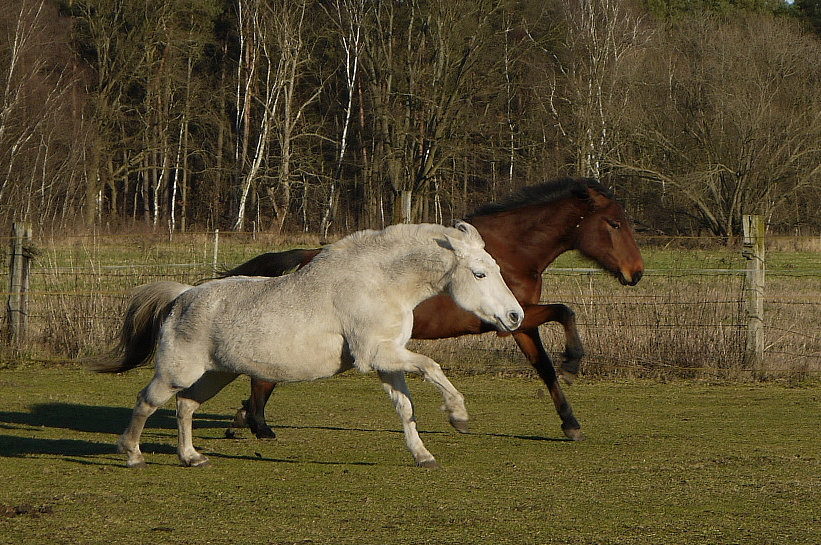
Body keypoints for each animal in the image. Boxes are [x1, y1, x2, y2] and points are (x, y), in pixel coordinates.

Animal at [93, 221, 520, 468]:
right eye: (479, 274)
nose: (515, 316)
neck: (378, 283)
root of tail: (182, 296)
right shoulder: (376, 355)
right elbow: (433, 367)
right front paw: (458, 417)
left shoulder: (389, 359)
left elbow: (405, 407)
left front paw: (423, 456)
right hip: (177, 371)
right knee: (147, 402)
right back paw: (132, 455)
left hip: (216, 375)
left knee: (185, 407)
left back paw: (191, 457)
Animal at [221, 178, 644, 442]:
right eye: (613, 223)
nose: (636, 272)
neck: (510, 252)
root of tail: (309, 257)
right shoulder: (504, 320)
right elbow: (565, 312)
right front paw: (573, 363)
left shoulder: (518, 322)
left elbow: (544, 367)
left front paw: (570, 422)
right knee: (264, 376)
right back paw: (258, 426)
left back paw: (245, 419)